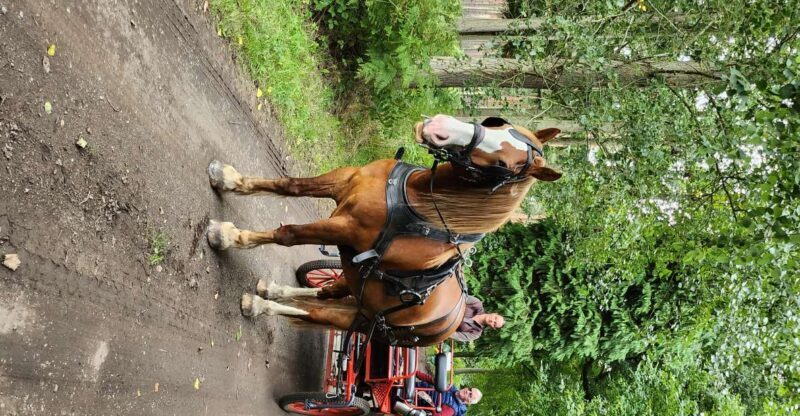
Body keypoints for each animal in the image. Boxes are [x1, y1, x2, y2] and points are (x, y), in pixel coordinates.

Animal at [205, 114, 561, 346]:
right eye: (496, 124)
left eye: (504, 166)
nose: (438, 127)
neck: (415, 199)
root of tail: (453, 319)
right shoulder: (344, 182)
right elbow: (289, 185)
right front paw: (227, 179)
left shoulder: (346, 230)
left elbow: (288, 234)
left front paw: (228, 236)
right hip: (358, 289)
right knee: (324, 293)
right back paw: (274, 291)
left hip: (365, 320)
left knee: (316, 312)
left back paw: (260, 304)